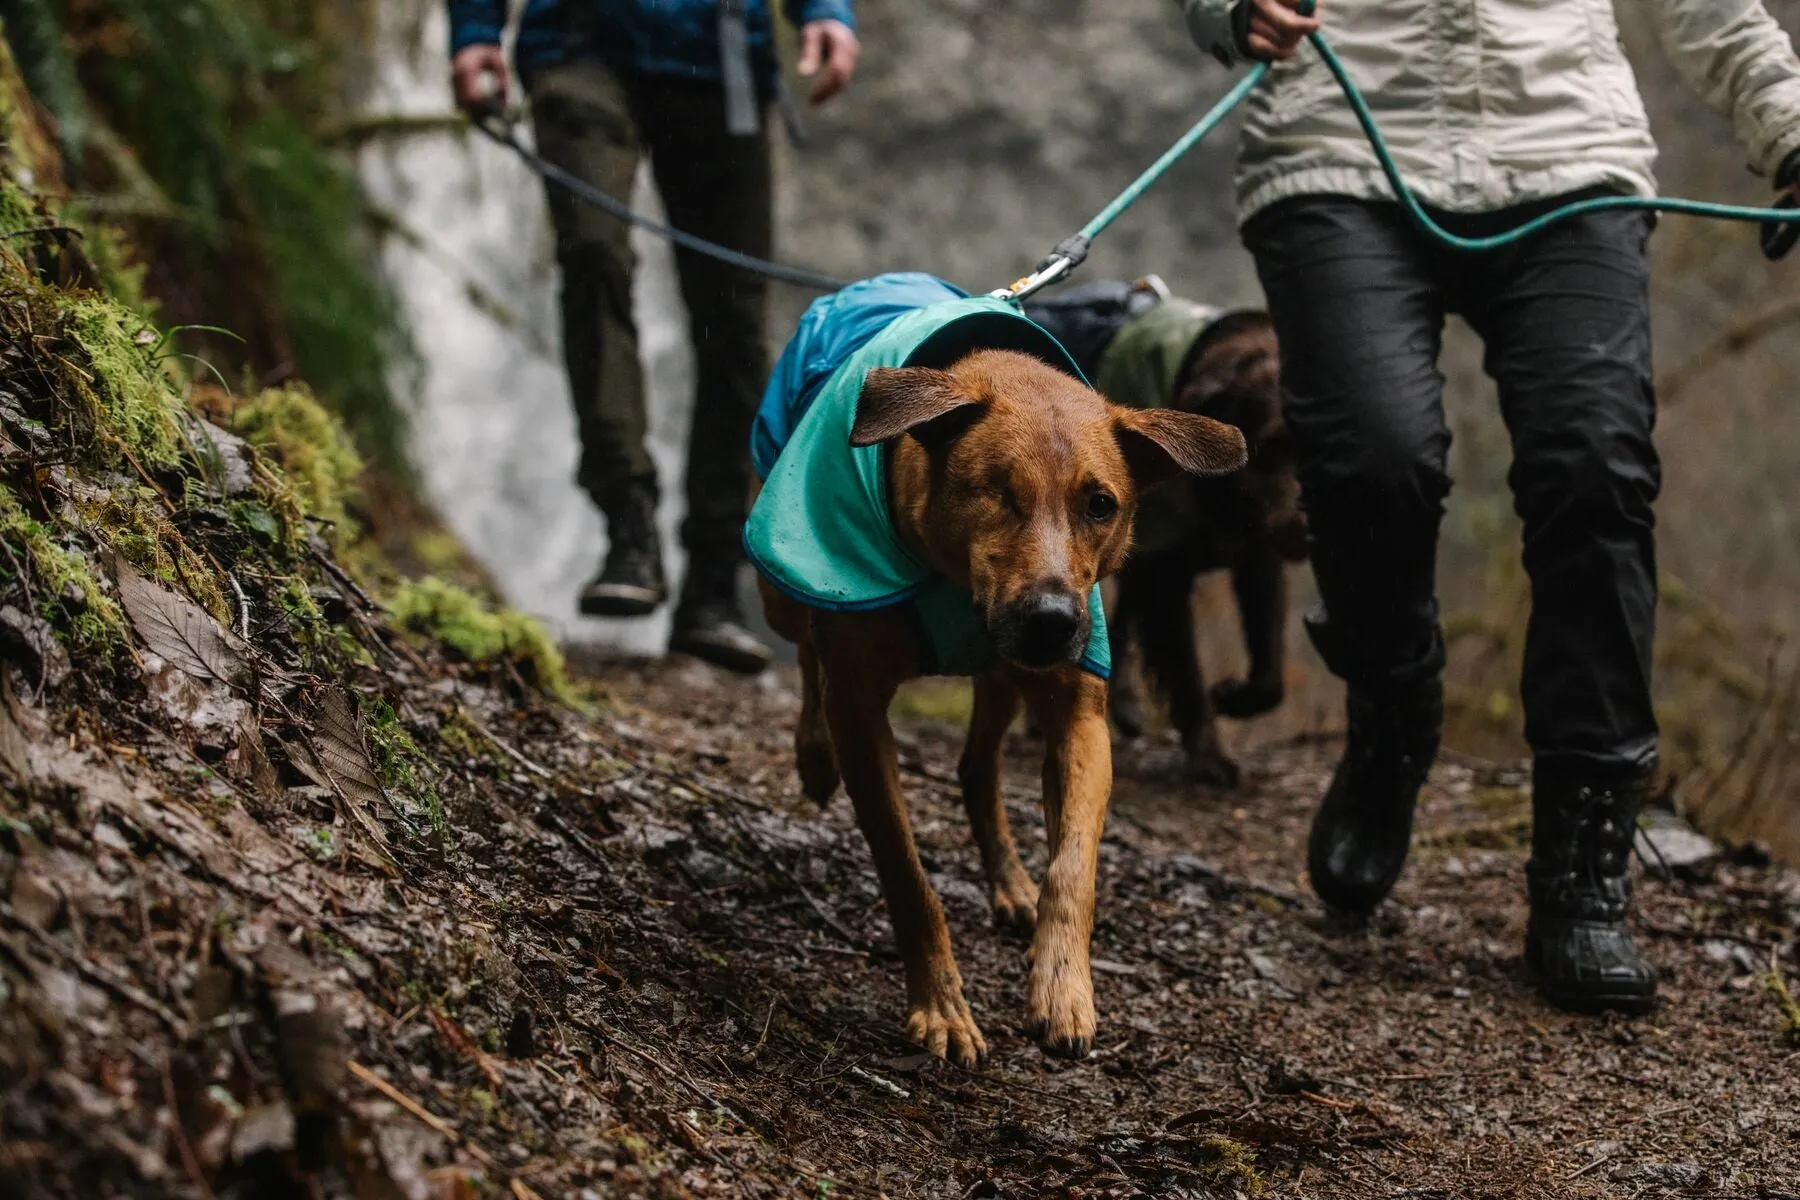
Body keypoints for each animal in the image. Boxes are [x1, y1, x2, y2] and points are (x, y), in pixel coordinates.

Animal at [748, 277, 1252, 1065]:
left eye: (1100, 503)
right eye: (996, 491)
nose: (1052, 620)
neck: (952, 584)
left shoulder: (1078, 714)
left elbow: (1073, 868)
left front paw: (1062, 985)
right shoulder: (860, 707)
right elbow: (906, 874)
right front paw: (941, 1007)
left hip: (1004, 678)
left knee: (976, 765)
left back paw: (1010, 880)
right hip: (787, 589)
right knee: (806, 654)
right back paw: (813, 753)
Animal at [1029, 282, 1310, 788]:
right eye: (1270, 446)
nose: (1306, 521)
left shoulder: (1255, 556)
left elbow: (1270, 675)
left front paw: (1232, 696)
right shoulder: (1165, 572)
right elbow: (1185, 670)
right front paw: (1210, 757)